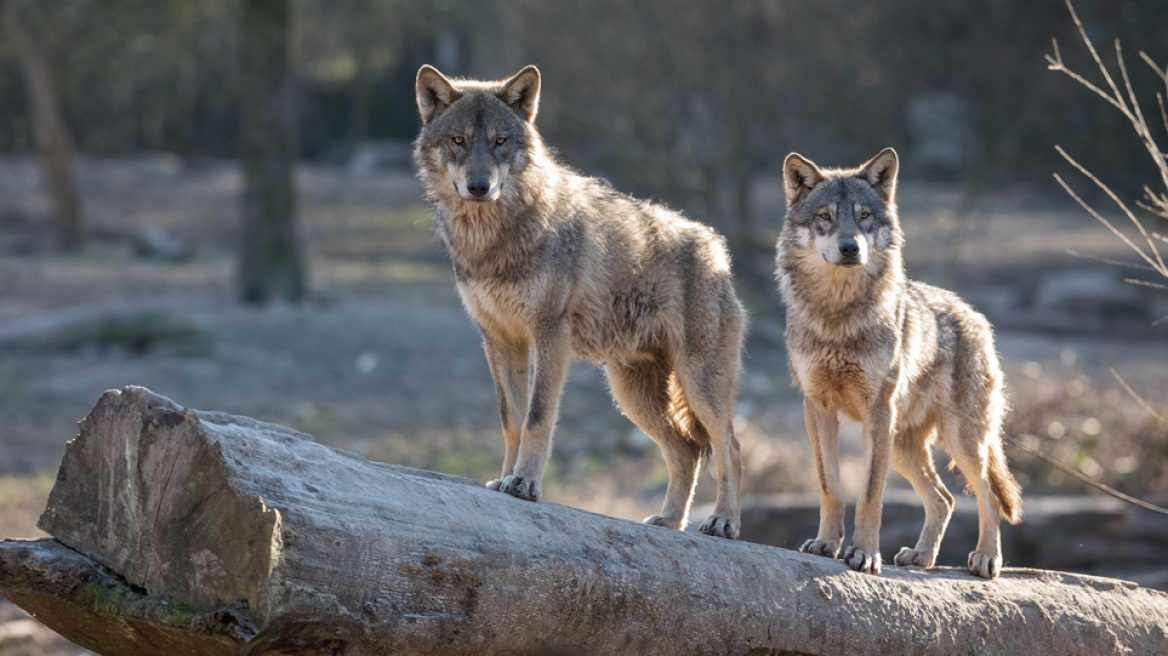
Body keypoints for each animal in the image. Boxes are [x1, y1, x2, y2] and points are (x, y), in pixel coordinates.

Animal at [411, 65, 747, 536]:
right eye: (458, 140)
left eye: (500, 140)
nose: (479, 186)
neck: (491, 241)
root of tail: (718, 249)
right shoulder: (500, 339)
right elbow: (511, 421)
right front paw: (506, 478)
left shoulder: (550, 335)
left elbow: (537, 418)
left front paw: (525, 484)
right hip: (632, 394)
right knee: (687, 450)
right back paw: (669, 520)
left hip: (697, 383)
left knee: (730, 447)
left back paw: (722, 521)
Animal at [775, 145, 1023, 574]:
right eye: (825, 217)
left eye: (864, 216)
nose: (850, 248)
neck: (838, 316)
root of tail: (974, 314)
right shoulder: (817, 407)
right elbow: (830, 486)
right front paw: (827, 544)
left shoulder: (877, 411)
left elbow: (870, 494)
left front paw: (864, 553)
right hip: (905, 447)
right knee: (945, 499)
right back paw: (921, 556)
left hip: (959, 440)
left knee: (987, 494)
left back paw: (987, 558)